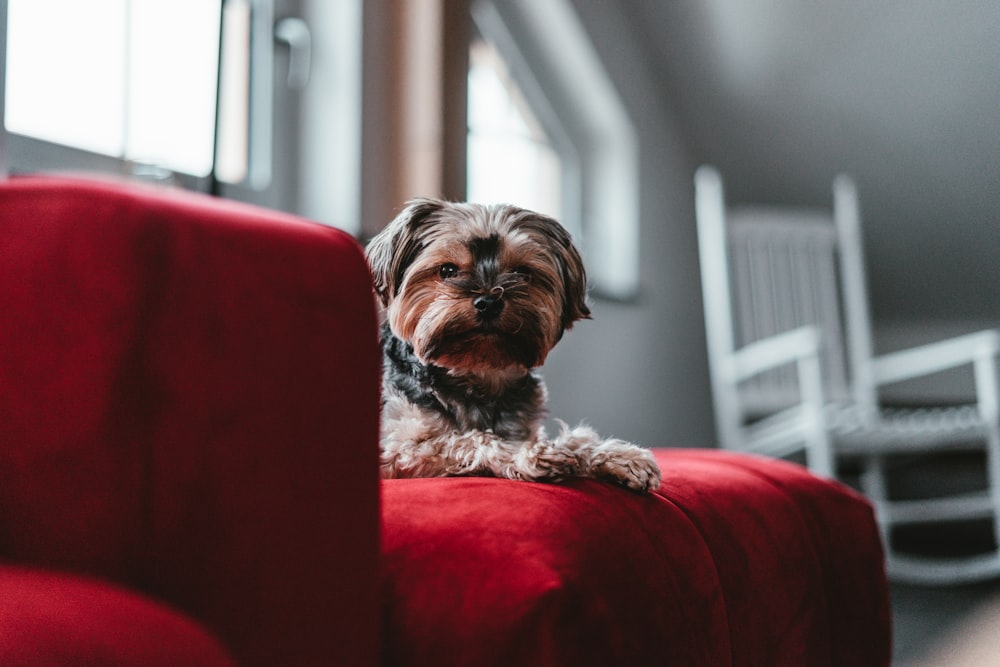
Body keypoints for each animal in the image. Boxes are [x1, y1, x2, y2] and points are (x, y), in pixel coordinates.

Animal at [364, 196, 660, 494]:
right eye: (447, 270)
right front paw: (529, 454)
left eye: (521, 272)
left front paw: (619, 456)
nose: (488, 302)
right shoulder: (398, 450)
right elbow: (468, 439)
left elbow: (576, 439)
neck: (477, 376)